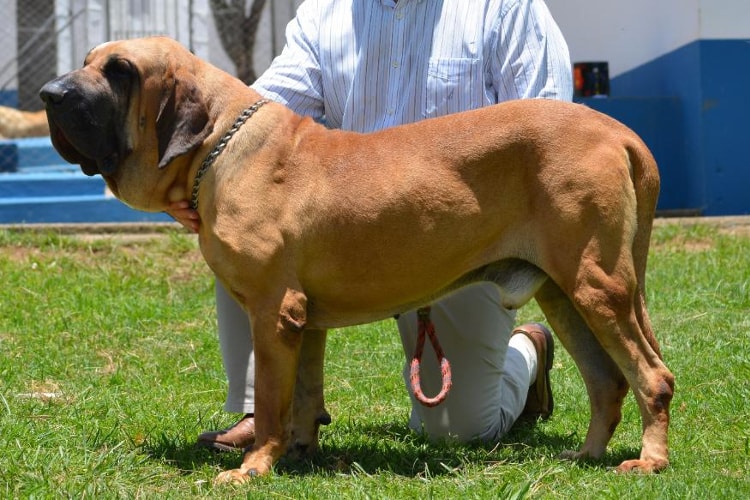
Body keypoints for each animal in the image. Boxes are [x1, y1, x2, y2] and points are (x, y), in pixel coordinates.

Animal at [39, 36, 676, 484]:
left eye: (120, 71)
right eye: (89, 61)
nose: (49, 94)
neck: (220, 145)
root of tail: (620, 132)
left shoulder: (272, 310)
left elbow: (271, 401)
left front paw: (252, 468)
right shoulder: (301, 320)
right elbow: (302, 394)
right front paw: (298, 452)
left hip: (597, 286)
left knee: (652, 376)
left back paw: (649, 461)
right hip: (564, 294)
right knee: (607, 381)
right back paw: (586, 454)